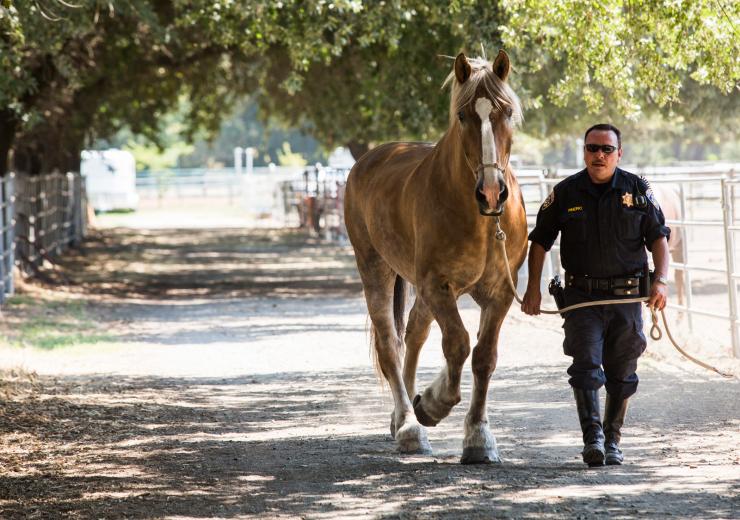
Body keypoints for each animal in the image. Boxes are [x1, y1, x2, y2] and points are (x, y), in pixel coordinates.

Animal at [344, 50, 528, 464]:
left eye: (507, 112)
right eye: (462, 115)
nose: (491, 193)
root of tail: (370, 159)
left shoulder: (499, 294)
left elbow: (483, 356)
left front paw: (478, 438)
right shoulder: (437, 286)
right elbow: (458, 344)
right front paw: (433, 404)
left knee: (414, 333)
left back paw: (404, 417)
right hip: (375, 270)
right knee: (389, 345)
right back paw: (409, 426)